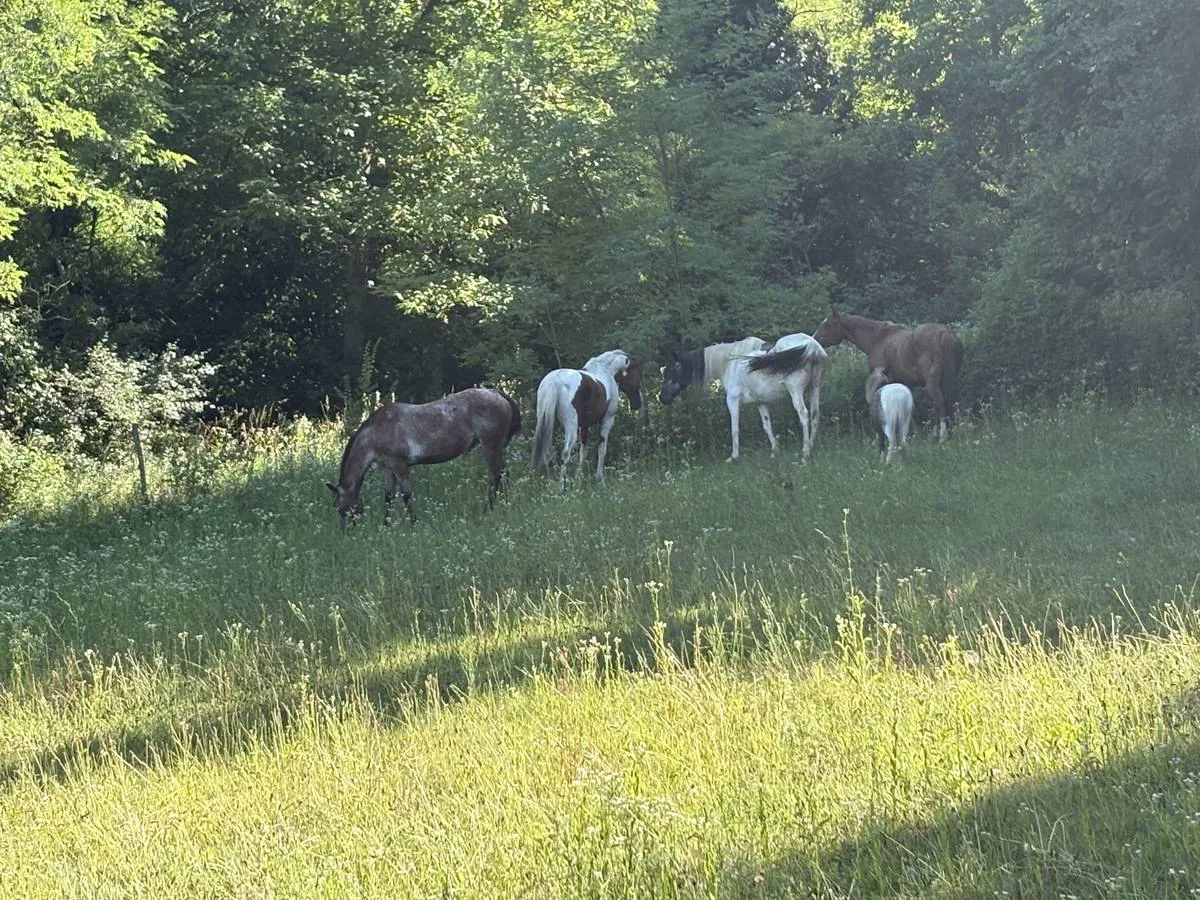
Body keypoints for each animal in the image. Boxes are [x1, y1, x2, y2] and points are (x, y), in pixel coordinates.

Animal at [326, 386, 521, 526]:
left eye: (338, 506)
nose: (345, 531)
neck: (376, 432)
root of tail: (496, 393)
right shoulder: (386, 468)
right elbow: (388, 496)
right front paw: (386, 525)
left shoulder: (399, 465)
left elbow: (406, 494)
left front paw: (413, 523)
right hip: (498, 447)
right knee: (504, 473)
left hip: (490, 446)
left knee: (495, 475)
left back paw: (489, 508)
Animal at [532, 349, 643, 488]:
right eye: (637, 373)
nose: (637, 404)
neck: (606, 370)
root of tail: (554, 380)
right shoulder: (607, 421)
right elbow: (601, 450)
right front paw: (600, 479)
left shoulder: (584, 425)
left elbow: (583, 451)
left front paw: (578, 480)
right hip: (571, 427)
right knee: (565, 453)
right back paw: (560, 487)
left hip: (546, 422)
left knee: (546, 453)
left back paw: (550, 483)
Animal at [658, 333, 828, 462]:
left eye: (671, 372)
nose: (662, 398)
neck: (729, 364)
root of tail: (811, 346)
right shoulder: (760, 402)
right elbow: (767, 425)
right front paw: (774, 451)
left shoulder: (732, 401)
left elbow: (734, 429)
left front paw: (734, 457)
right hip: (815, 388)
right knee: (815, 414)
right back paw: (811, 447)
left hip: (795, 392)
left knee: (804, 415)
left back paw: (805, 453)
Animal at [812, 308, 964, 440]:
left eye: (828, 324)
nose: (814, 339)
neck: (876, 338)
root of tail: (945, 335)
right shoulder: (904, 383)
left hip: (932, 383)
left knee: (941, 404)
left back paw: (942, 437)